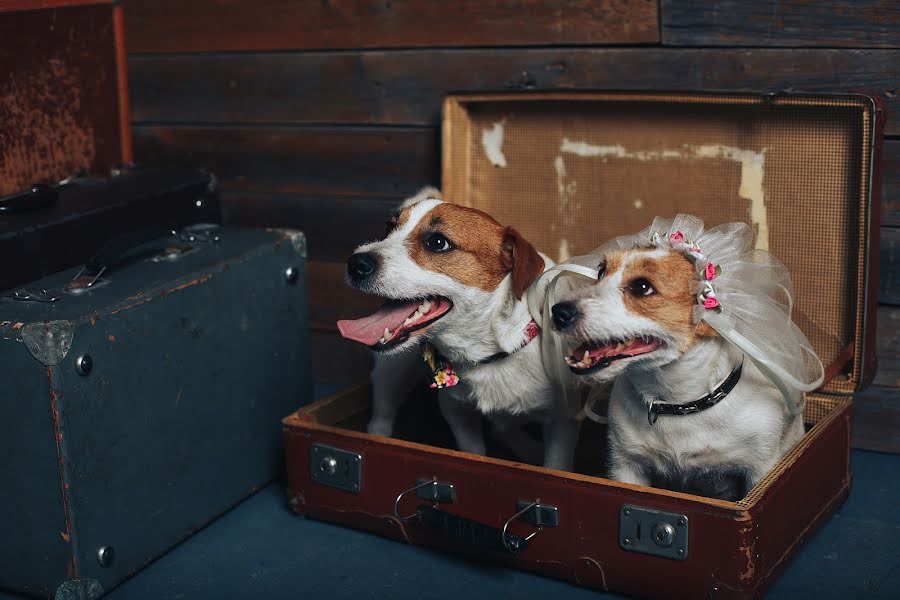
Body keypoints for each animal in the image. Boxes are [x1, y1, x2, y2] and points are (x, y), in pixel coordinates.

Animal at [336, 190, 576, 472]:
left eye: (438, 242)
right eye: (388, 228)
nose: (355, 263)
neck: (490, 351)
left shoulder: (561, 423)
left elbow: (555, 465)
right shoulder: (457, 410)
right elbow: (473, 451)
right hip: (391, 370)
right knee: (382, 413)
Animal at [544, 218, 820, 500]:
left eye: (641, 287)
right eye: (601, 272)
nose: (559, 312)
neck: (675, 402)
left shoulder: (760, 470)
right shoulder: (626, 466)